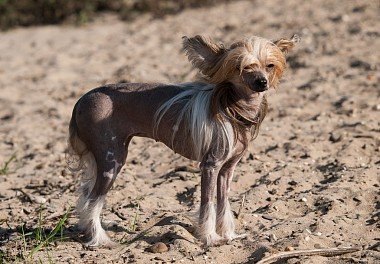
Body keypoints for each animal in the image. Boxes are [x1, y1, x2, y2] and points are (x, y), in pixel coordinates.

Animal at [68, 34, 300, 248]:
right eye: (240, 67)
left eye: (269, 66)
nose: (262, 82)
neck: (233, 108)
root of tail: (82, 99)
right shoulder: (210, 165)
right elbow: (207, 204)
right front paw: (210, 237)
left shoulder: (227, 170)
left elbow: (223, 203)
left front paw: (228, 235)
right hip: (112, 161)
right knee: (92, 202)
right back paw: (100, 239)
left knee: (85, 197)